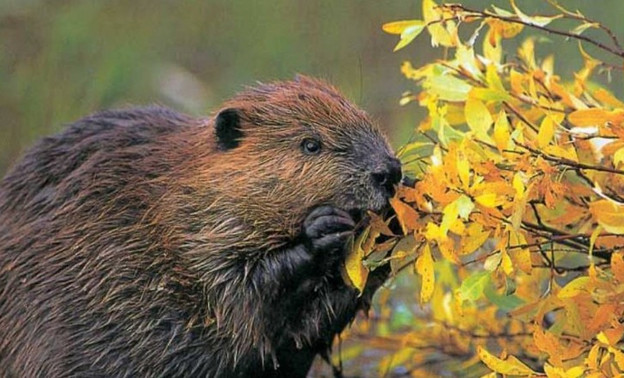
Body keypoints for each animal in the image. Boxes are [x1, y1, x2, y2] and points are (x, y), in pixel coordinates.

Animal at [0, 75, 400, 376]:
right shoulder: (185, 240)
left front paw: (395, 217)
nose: (389, 171)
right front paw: (323, 228)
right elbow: (240, 295)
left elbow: (309, 327)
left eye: (366, 119)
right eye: (311, 144)